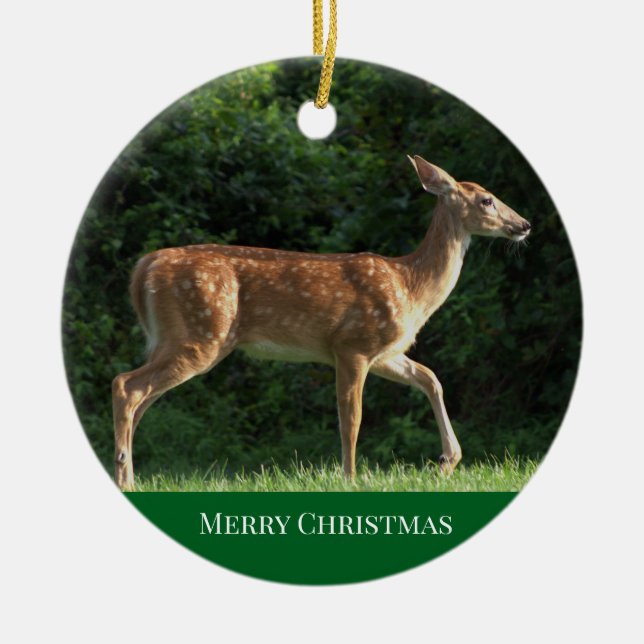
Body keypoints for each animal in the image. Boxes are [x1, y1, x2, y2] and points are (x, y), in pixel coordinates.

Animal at [112, 156, 532, 490]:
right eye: (486, 199)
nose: (525, 224)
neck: (410, 286)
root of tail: (143, 267)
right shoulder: (352, 344)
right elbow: (352, 418)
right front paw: (351, 479)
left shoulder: (385, 353)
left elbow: (431, 378)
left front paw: (447, 461)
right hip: (201, 334)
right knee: (126, 386)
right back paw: (126, 478)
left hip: (175, 338)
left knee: (141, 399)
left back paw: (130, 476)